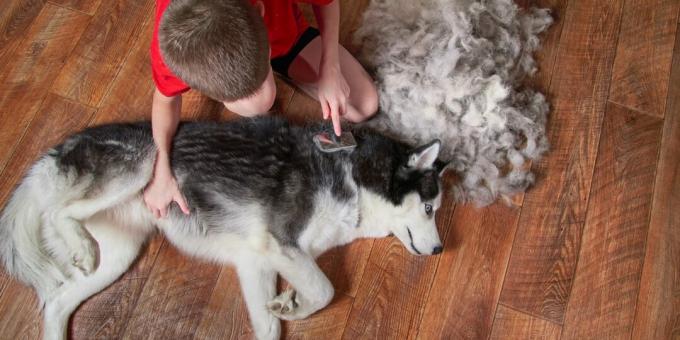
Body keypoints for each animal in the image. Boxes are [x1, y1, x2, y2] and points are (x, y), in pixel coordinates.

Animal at [0, 116, 446, 338]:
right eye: (429, 208)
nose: (442, 250)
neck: (352, 174)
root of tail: (60, 147)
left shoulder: (258, 260)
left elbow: (271, 325)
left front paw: (288, 305)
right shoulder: (281, 243)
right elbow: (325, 289)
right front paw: (298, 305)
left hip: (118, 257)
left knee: (58, 302)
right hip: (144, 163)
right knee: (59, 212)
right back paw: (76, 241)